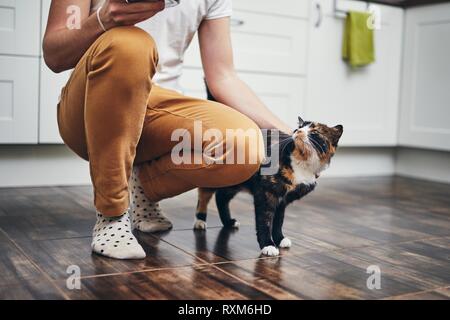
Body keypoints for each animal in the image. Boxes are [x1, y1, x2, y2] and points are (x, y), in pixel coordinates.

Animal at [193, 116, 344, 256]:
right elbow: (264, 221)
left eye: (315, 132)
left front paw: (280, 239)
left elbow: (278, 221)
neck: (301, 163)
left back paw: (229, 222)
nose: (298, 131)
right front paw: (268, 245)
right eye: (299, 127)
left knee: (221, 197)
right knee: (204, 197)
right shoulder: (266, 193)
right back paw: (200, 221)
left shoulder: (283, 200)